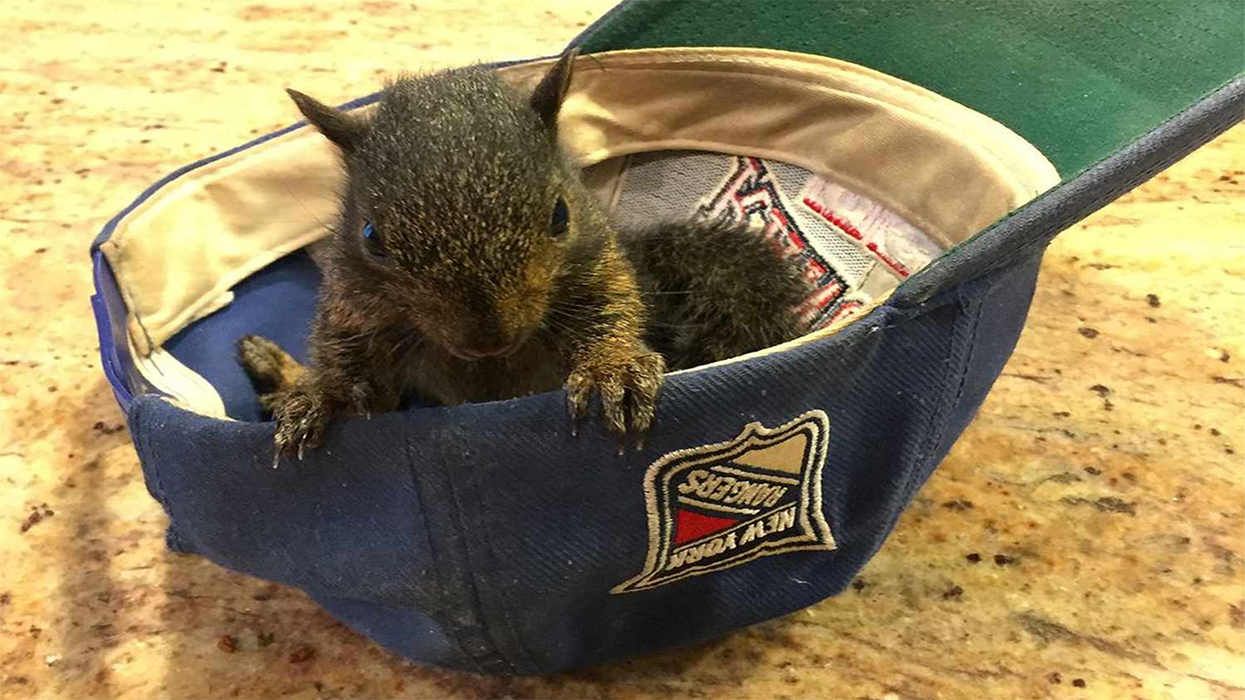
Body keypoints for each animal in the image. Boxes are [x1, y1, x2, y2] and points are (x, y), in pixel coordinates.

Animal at [238, 51, 810, 464]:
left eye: (560, 215)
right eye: (371, 237)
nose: (487, 338)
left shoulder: (597, 268)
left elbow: (613, 310)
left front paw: (613, 368)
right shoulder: (352, 304)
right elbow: (351, 370)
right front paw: (322, 393)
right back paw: (275, 374)